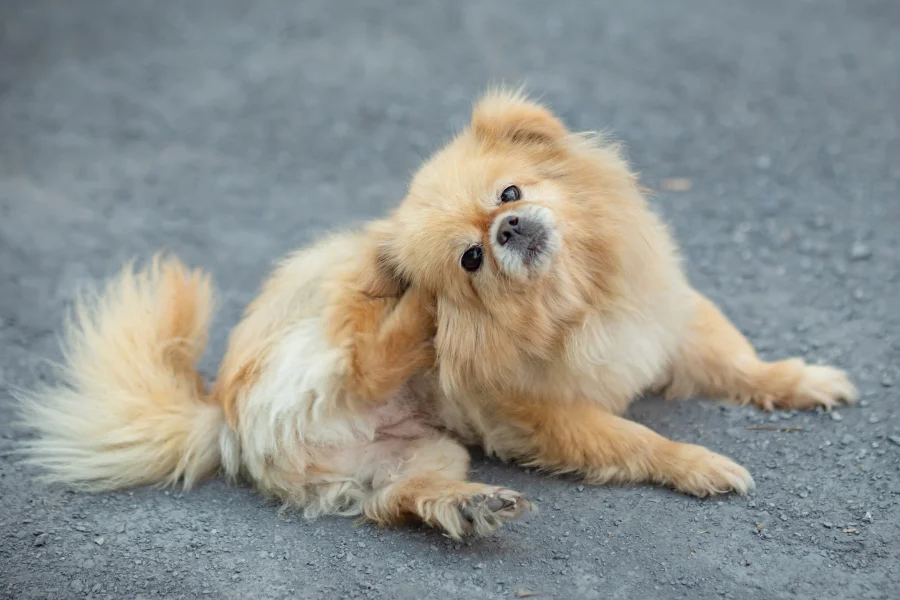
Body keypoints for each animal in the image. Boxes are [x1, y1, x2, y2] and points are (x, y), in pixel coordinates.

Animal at [17, 88, 856, 540]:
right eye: (471, 261)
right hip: (320, 341)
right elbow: (638, 440)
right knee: (363, 352)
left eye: (511, 193)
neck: (574, 301)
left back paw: (468, 506)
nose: (508, 229)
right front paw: (702, 466)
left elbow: (742, 362)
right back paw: (418, 314)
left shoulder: (672, 323)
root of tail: (220, 413)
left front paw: (801, 380)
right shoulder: (548, 417)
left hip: (423, 453)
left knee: (398, 500)